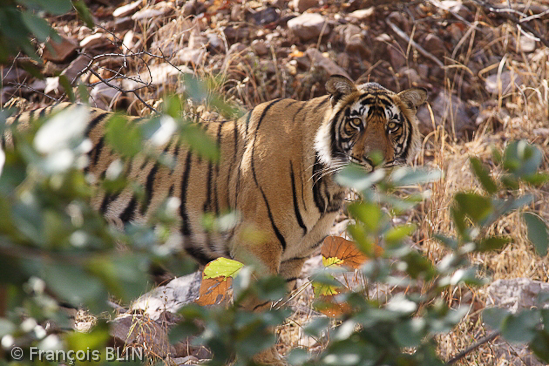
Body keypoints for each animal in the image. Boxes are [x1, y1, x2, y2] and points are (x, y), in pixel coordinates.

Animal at [2, 75, 426, 366]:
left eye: (392, 126)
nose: (374, 161)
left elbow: (273, 314)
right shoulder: (258, 248)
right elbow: (257, 318)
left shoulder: (292, 260)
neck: (330, 187)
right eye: (356, 124)